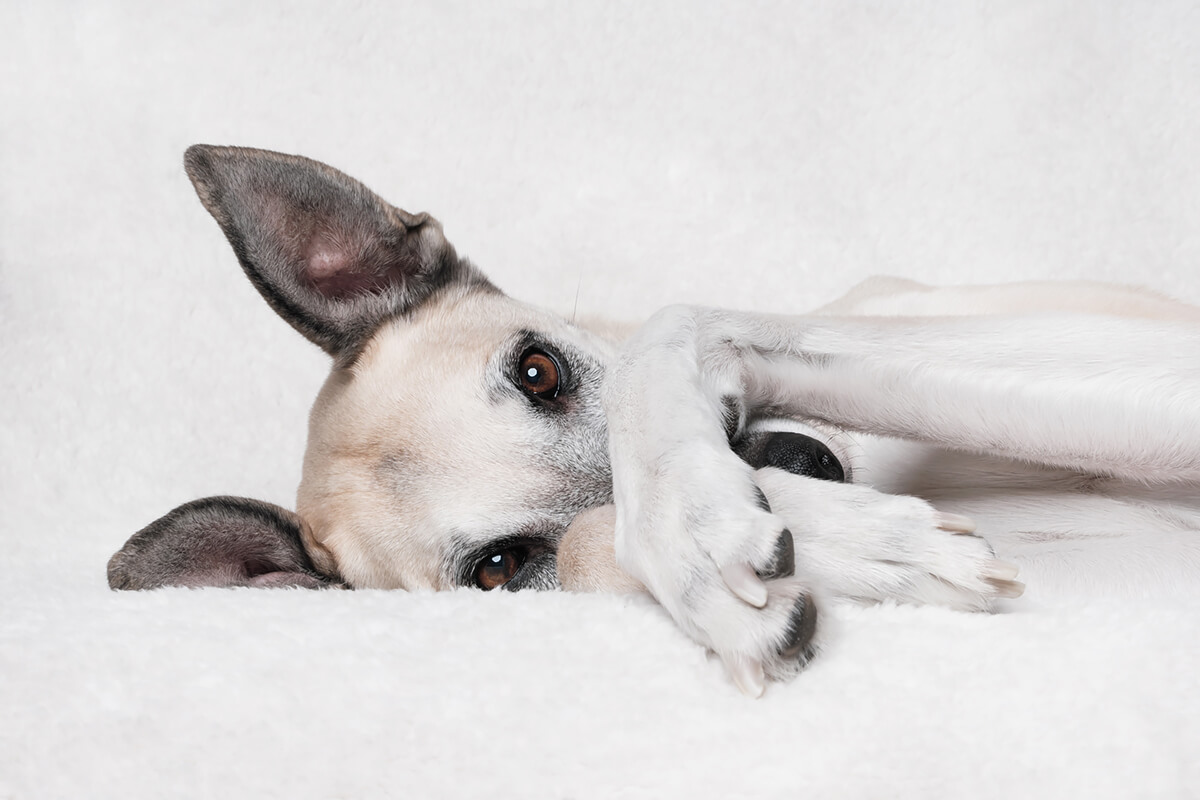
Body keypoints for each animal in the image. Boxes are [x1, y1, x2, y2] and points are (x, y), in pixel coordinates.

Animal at [110, 145, 1200, 695]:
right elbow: (603, 537)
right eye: (500, 567)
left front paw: (703, 519)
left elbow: (674, 328)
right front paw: (833, 543)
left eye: (539, 369)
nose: (798, 458)